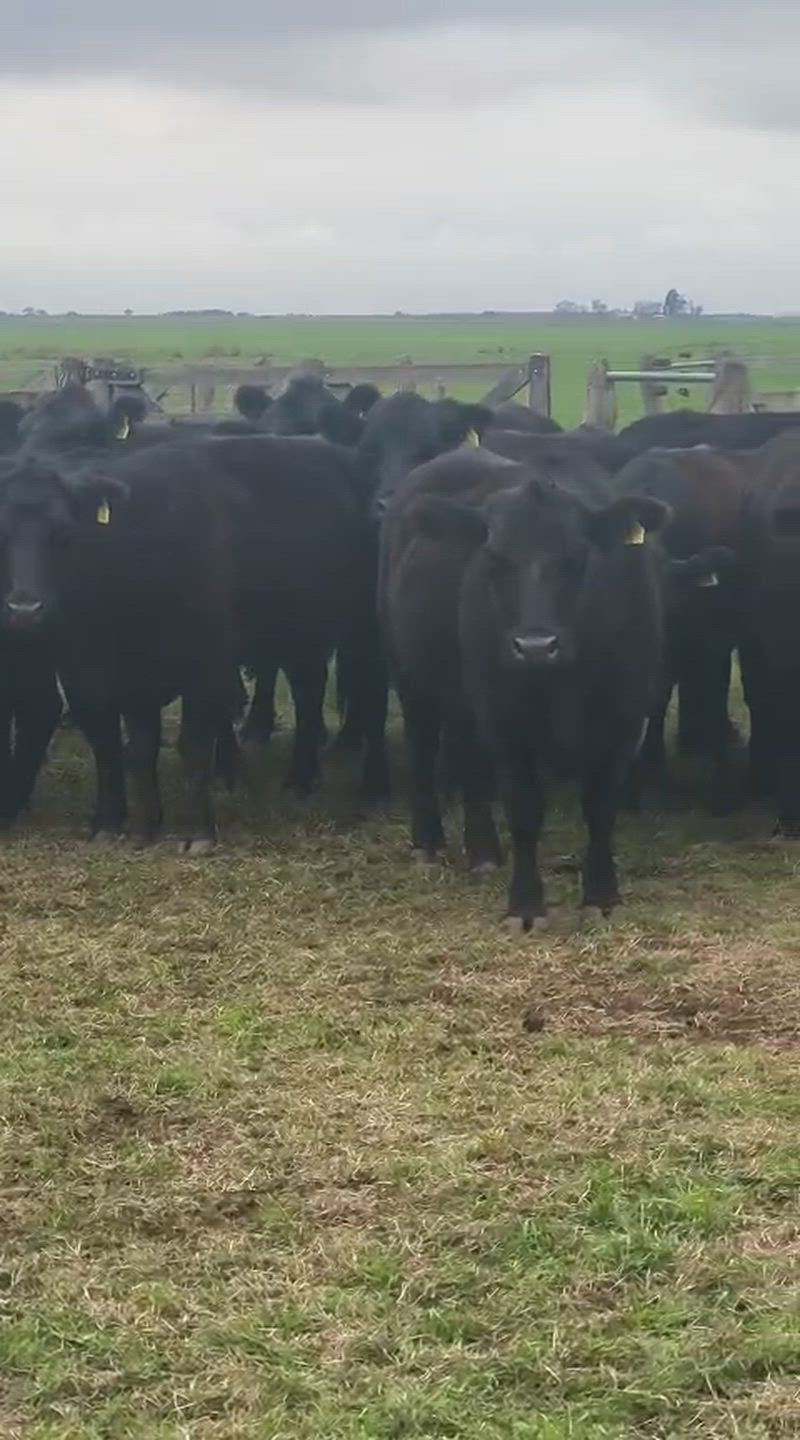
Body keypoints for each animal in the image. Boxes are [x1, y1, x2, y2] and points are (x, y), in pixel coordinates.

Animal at [382, 447, 671, 927]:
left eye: (577, 558)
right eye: (495, 559)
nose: (536, 647)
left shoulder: (624, 717)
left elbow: (601, 807)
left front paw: (601, 894)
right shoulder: (505, 718)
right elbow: (523, 809)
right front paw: (525, 904)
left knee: (470, 763)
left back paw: (483, 850)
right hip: (412, 677)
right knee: (424, 750)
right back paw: (428, 842)